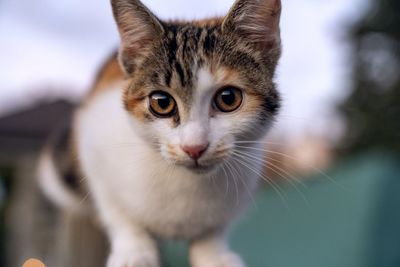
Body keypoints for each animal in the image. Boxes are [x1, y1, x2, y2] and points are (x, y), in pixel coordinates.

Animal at [37, 0, 282, 266]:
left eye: (228, 99)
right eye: (162, 103)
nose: (194, 147)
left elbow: (215, 227)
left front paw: (212, 253)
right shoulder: (93, 141)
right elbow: (115, 210)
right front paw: (134, 251)